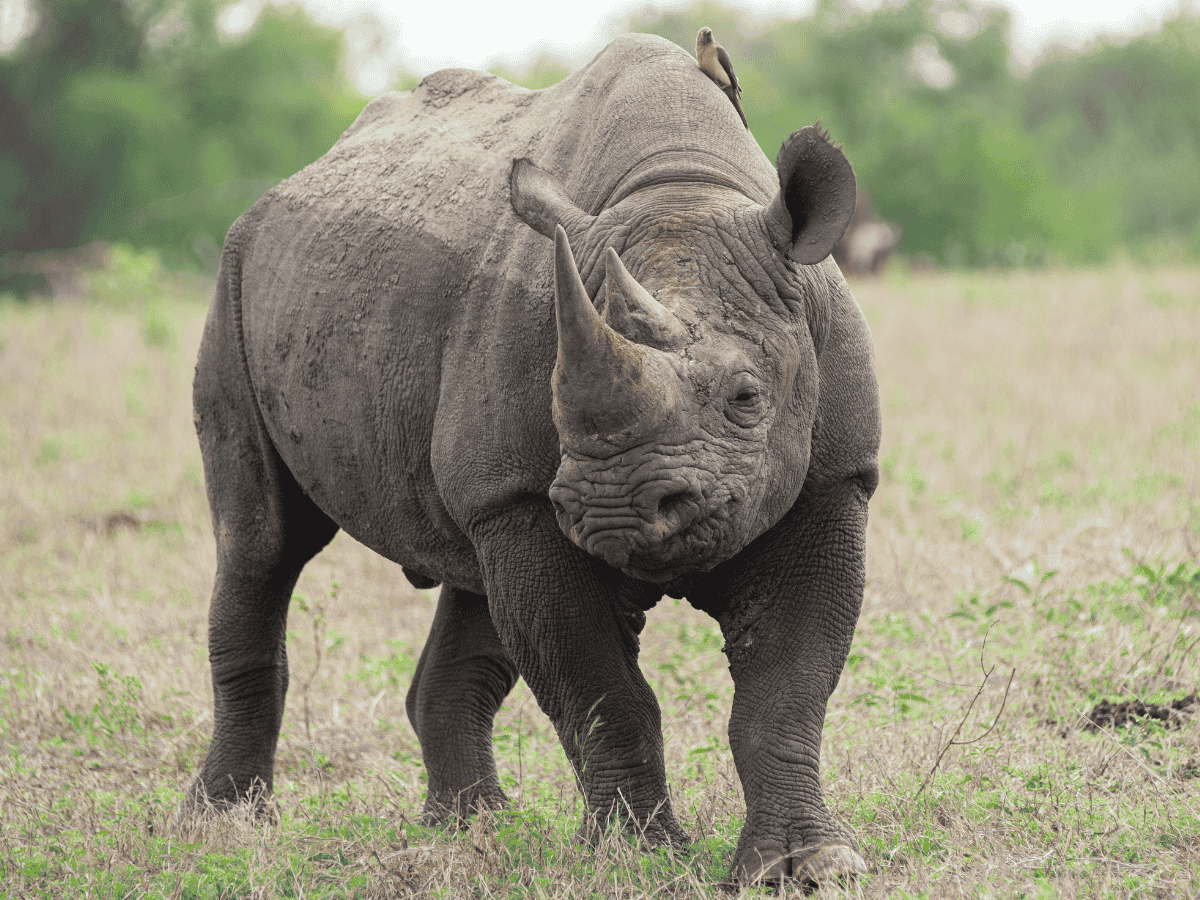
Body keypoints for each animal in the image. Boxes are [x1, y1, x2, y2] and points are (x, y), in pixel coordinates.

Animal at [185, 33, 881, 886]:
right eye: (556, 399)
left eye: (748, 399)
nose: (615, 511)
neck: (684, 188)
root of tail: (288, 186)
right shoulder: (523, 500)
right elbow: (601, 693)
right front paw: (634, 860)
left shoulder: (833, 478)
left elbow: (784, 691)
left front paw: (810, 868)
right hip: (236, 275)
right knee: (263, 545)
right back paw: (224, 827)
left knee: (467, 582)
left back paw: (469, 831)